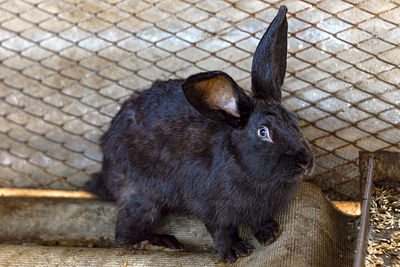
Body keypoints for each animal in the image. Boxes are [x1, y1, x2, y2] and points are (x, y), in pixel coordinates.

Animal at [86, 6, 314, 264]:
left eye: (293, 120)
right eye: (263, 132)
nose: (305, 162)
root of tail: (106, 164)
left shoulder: (259, 211)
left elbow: (259, 222)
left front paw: (270, 234)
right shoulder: (211, 207)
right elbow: (221, 229)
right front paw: (235, 252)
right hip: (141, 196)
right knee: (125, 233)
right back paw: (162, 243)